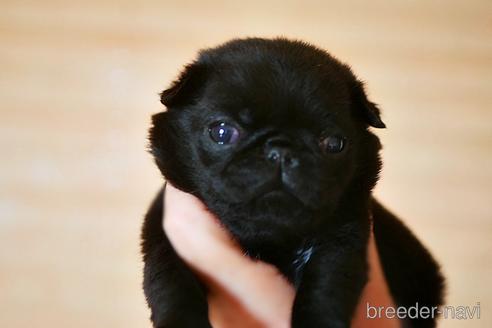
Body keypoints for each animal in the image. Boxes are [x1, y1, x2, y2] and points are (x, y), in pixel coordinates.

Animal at [140, 37, 444, 326]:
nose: (281, 151)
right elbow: (171, 283)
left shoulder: (341, 238)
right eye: (222, 132)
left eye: (334, 144)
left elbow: (325, 287)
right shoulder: (164, 237)